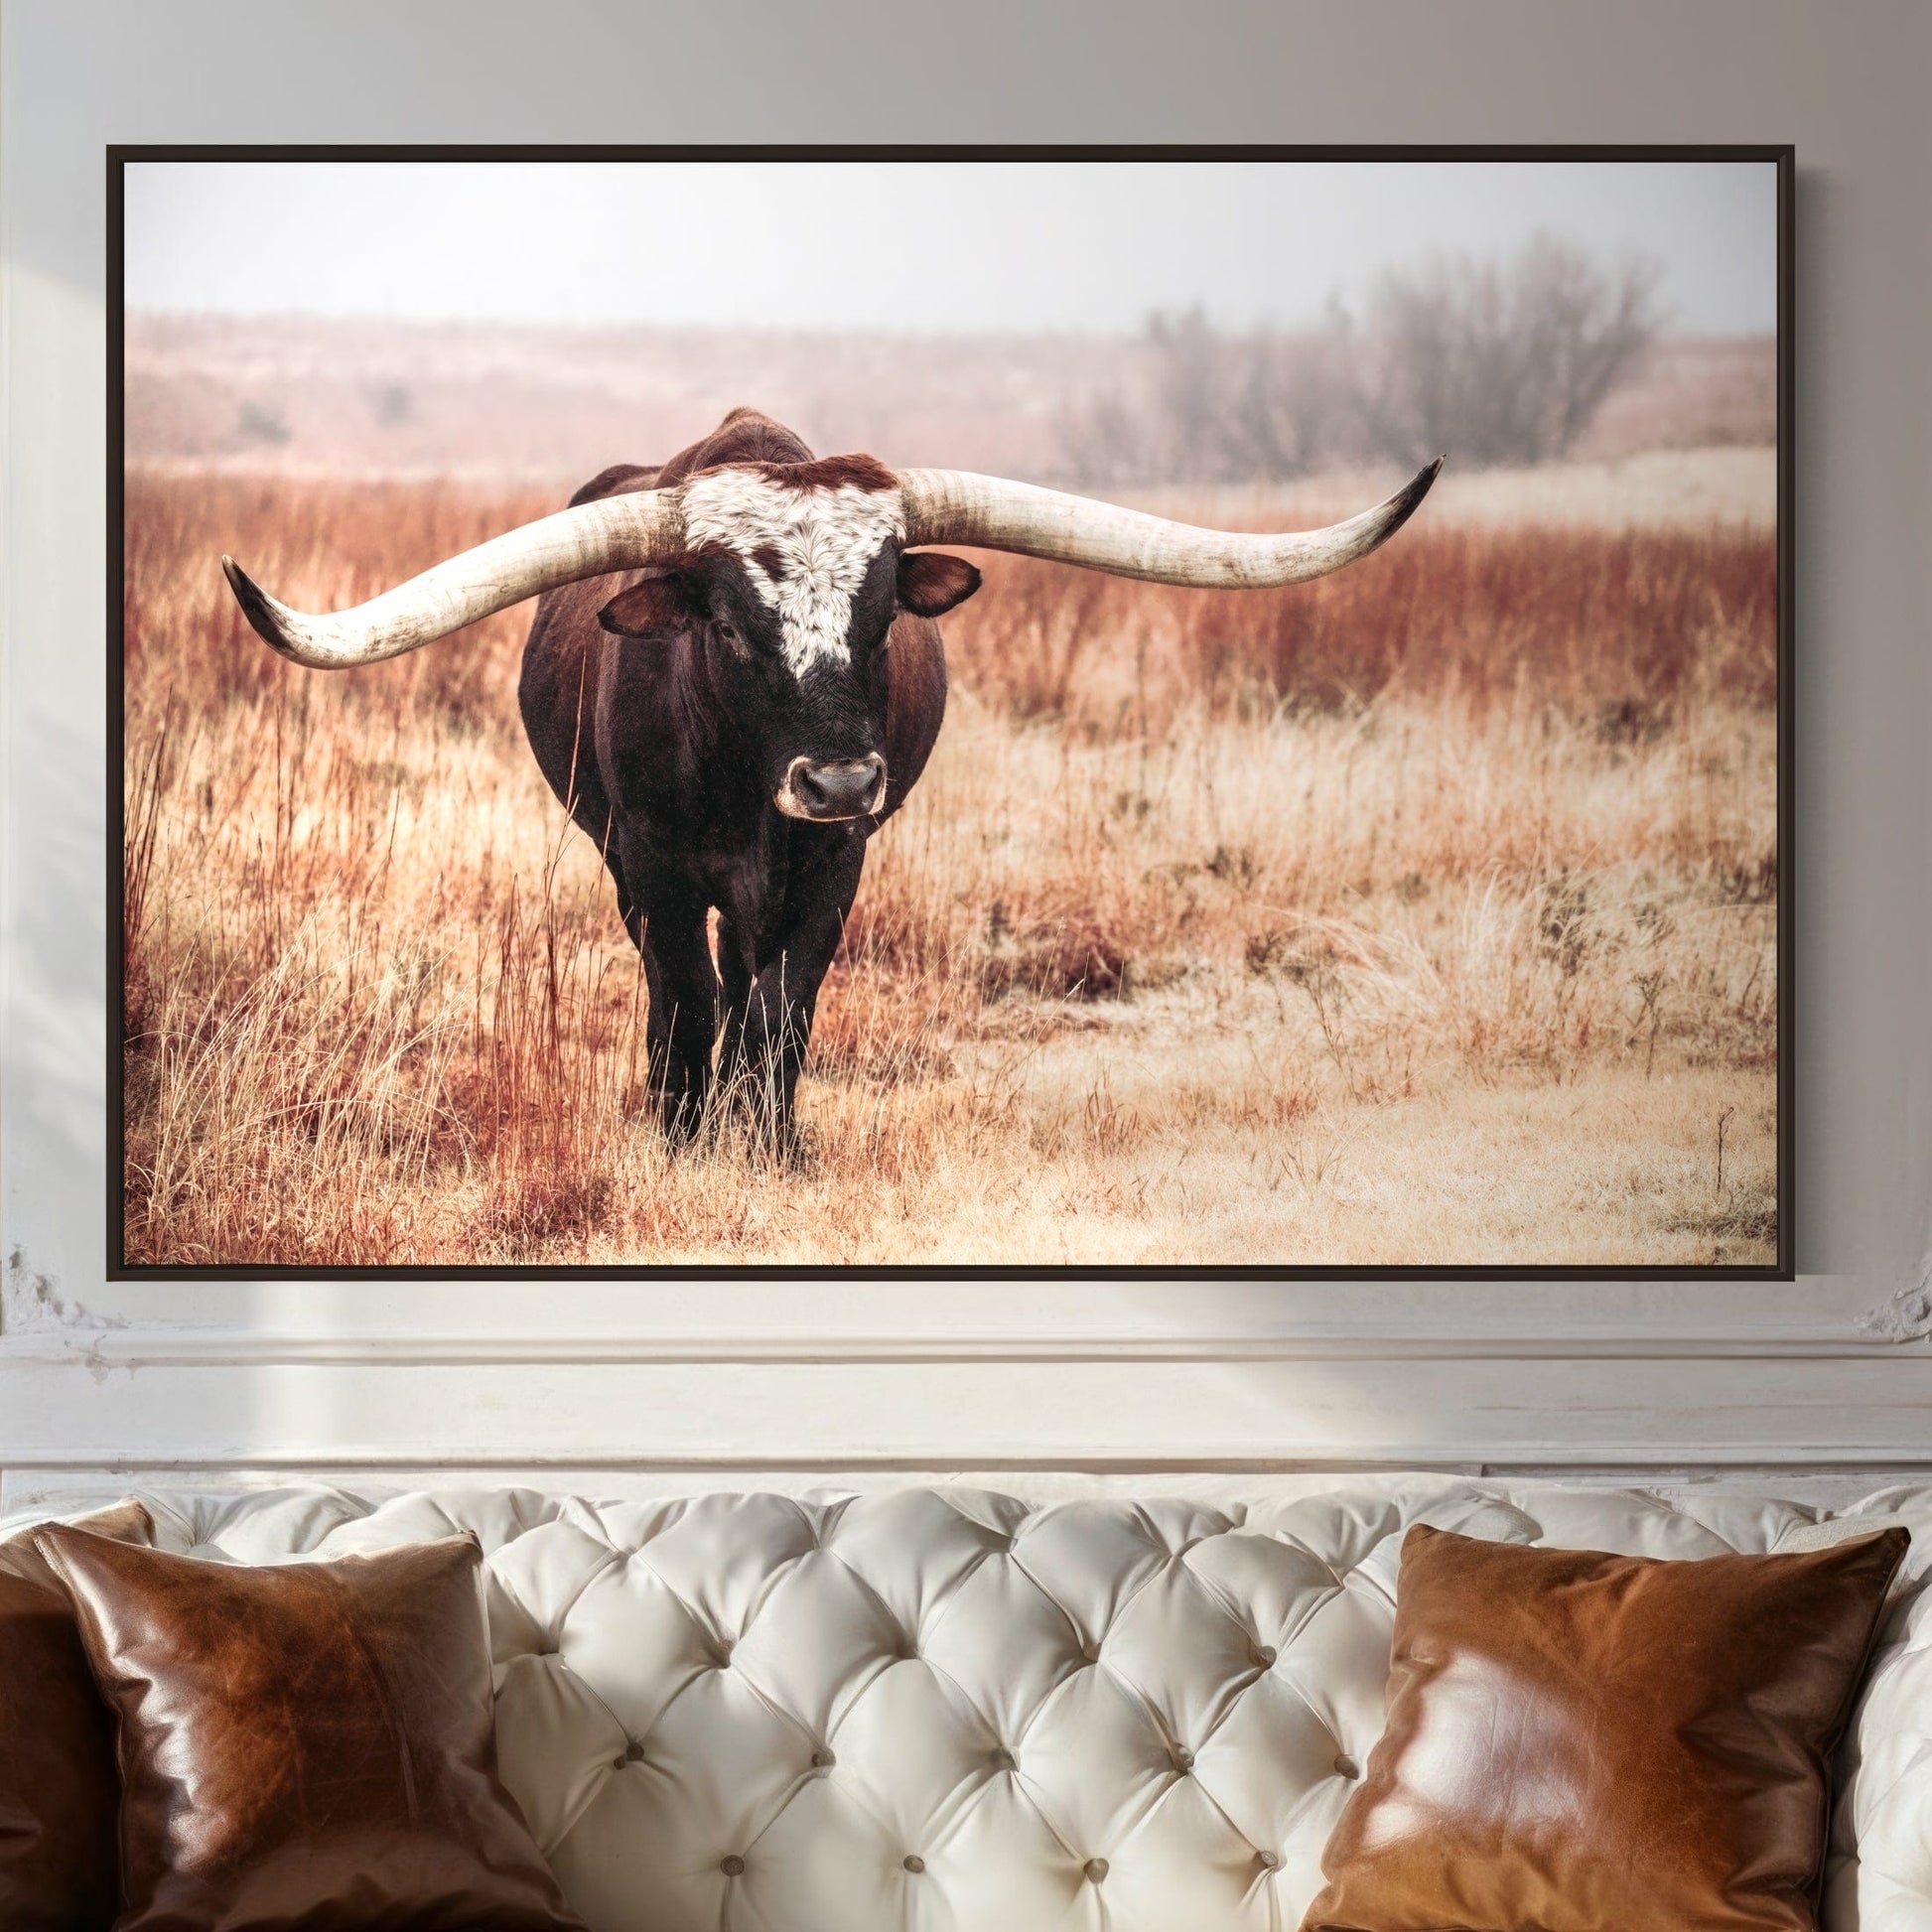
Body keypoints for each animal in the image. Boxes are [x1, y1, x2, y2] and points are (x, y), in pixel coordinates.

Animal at [222, 409, 1440, 1151]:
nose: (842, 778)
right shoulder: (654, 867)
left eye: (883, 610)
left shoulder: (834, 870)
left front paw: (771, 1141)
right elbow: (687, 995)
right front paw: (681, 1132)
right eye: (725, 622)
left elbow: (783, 1003)